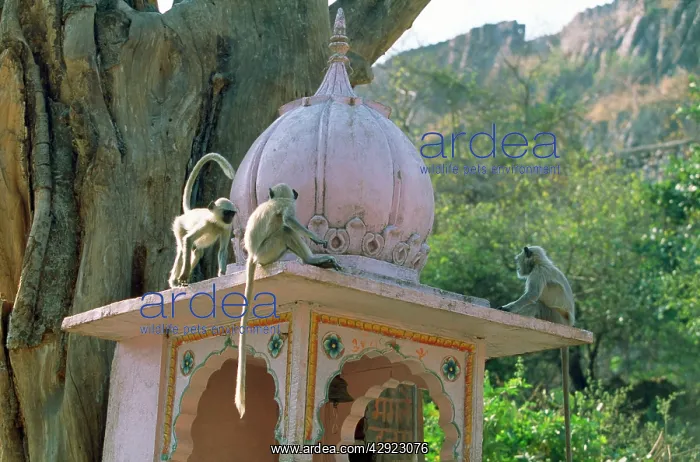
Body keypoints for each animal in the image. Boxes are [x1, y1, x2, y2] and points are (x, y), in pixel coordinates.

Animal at [168, 153, 236, 289]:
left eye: (232, 214)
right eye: (227, 213)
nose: (230, 218)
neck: (215, 222)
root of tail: (189, 213)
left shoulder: (227, 227)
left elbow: (222, 250)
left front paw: (222, 274)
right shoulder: (206, 223)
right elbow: (188, 240)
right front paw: (183, 276)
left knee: (197, 251)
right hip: (179, 225)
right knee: (182, 250)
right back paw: (175, 281)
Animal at [235, 183, 341, 417]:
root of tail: (252, 256)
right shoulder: (286, 205)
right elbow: (289, 220)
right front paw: (316, 238)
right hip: (269, 250)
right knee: (285, 230)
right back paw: (312, 260)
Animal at [498, 246, 575, 462]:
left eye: (518, 260)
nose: (517, 267)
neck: (541, 263)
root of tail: (569, 324)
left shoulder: (537, 275)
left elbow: (531, 296)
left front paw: (506, 308)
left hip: (555, 317)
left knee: (537, 304)